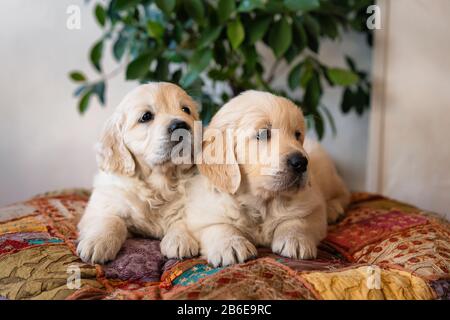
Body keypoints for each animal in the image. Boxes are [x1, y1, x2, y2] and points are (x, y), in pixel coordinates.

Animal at [77, 82, 200, 262]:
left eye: (186, 110)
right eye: (146, 116)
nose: (181, 126)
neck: (159, 183)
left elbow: (184, 217)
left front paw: (180, 239)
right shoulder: (102, 205)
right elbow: (111, 218)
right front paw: (98, 242)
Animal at [185, 90, 350, 268]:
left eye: (297, 135)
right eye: (264, 134)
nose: (301, 162)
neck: (261, 202)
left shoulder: (313, 204)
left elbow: (298, 219)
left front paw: (294, 239)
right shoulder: (200, 214)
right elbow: (218, 226)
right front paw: (231, 245)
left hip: (327, 175)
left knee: (344, 193)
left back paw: (333, 209)